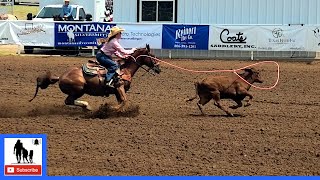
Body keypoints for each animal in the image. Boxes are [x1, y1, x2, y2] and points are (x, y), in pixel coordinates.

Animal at [29, 44, 160, 110]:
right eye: (153, 56)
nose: (159, 69)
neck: (125, 70)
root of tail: (60, 77)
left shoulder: (117, 91)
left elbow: (122, 101)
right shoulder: (119, 87)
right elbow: (124, 100)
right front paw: (109, 108)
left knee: (69, 102)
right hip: (79, 89)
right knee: (68, 101)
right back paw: (86, 106)